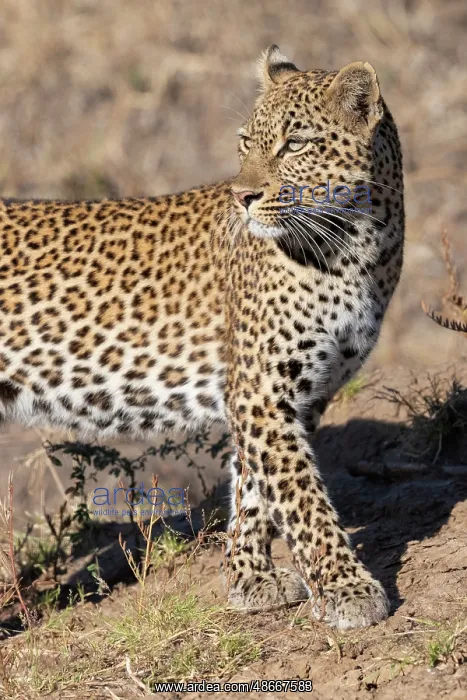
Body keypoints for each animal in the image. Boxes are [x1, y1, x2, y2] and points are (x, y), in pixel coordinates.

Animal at [0, 45, 404, 629]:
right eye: (246, 141)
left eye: (296, 144)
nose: (243, 196)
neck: (358, 248)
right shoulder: (262, 391)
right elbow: (302, 496)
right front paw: (347, 587)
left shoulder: (296, 393)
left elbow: (255, 488)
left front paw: (247, 577)